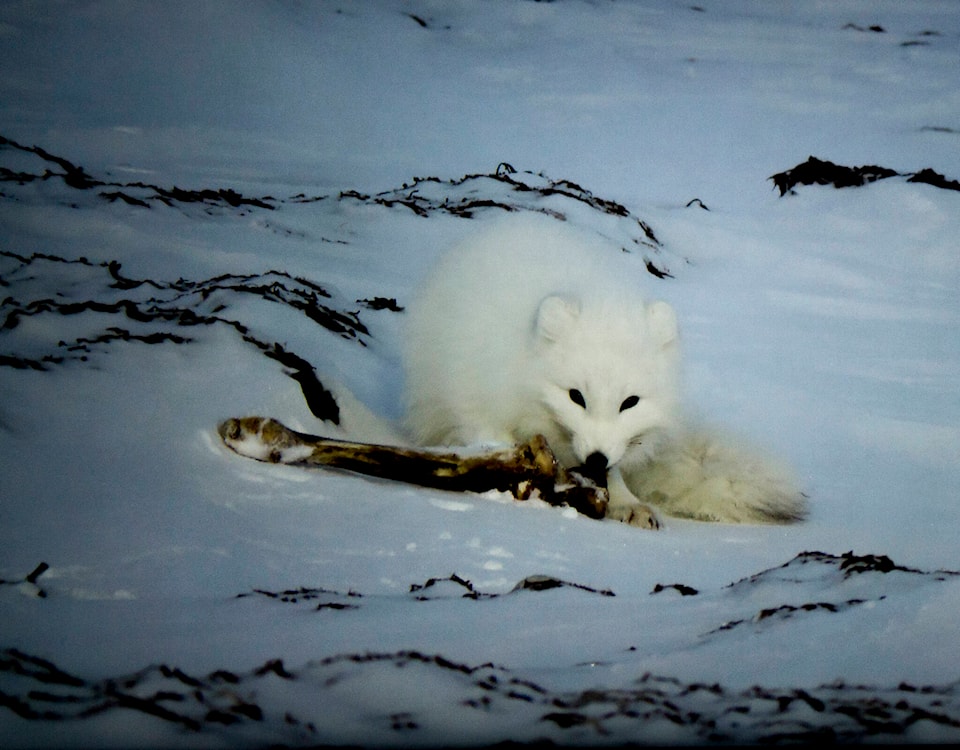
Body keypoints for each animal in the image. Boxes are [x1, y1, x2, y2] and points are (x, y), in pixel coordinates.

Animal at [402, 213, 808, 528]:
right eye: (575, 396)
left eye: (630, 402)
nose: (595, 458)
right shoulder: (475, 397)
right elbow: (492, 443)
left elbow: (613, 474)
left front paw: (626, 504)